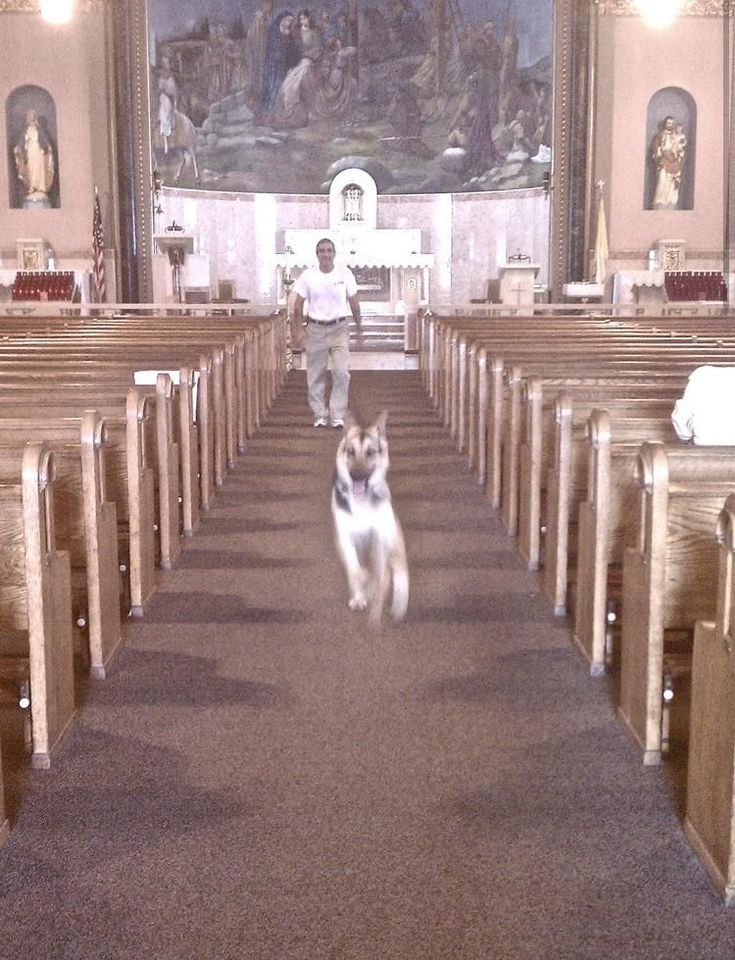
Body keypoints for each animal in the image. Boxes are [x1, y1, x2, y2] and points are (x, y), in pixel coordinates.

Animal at [332, 410, 408, 624]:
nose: (356, 477)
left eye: (370, 452)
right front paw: (359, 597)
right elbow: (354, 569)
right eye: (351, 451)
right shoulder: (345, 538)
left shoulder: (380, 537)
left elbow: (381, 575)